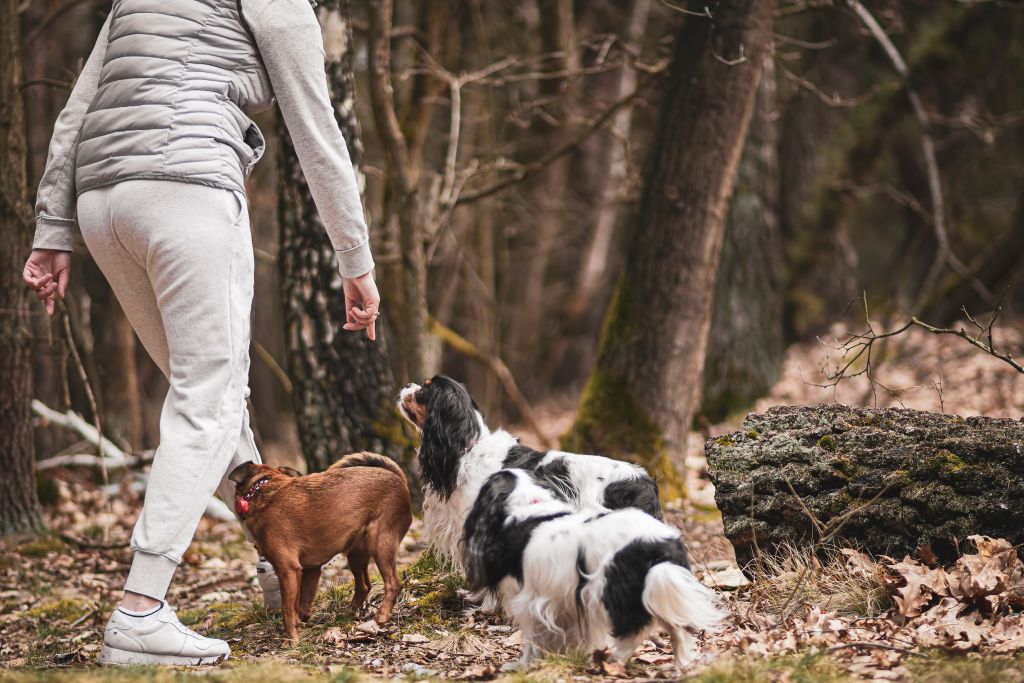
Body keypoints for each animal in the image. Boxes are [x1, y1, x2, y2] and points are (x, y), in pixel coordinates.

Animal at [228, 454, 411, 643]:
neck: (263, 489)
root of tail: (397, 478)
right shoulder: (310, 570)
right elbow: (301, 604)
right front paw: (302, 620)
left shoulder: (287, 570)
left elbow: (288, 610)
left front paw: (291, 640)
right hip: (355, 554)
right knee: (364, 586)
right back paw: (348, 613)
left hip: (381, 544)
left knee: (394, 584)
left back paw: (381, 616)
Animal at [462, 466, 720, 671]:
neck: (531, 507)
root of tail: (656, 546)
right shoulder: (564, 600)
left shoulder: (531, 600)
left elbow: (532, 639)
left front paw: (523, 666)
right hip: (656, 587)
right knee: (675, 628)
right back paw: (680, 665)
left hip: (612, 590)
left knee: (632, 632)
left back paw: (612, 662)